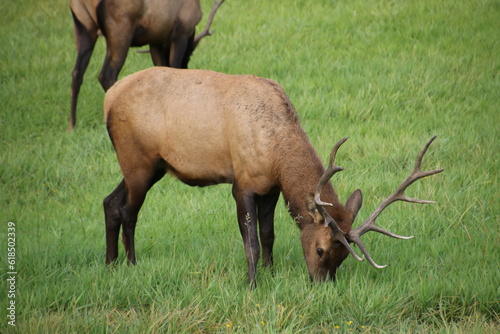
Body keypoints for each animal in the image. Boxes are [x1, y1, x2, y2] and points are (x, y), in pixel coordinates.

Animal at [69, 0, 225, 129]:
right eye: (189, 55)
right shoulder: (182, 30)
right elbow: (174, 67)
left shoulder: (156, 39)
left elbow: (162, 69)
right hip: (120, 29)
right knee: (106, 75)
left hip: (84, 27)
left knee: (77, 73)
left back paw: (72, 126)